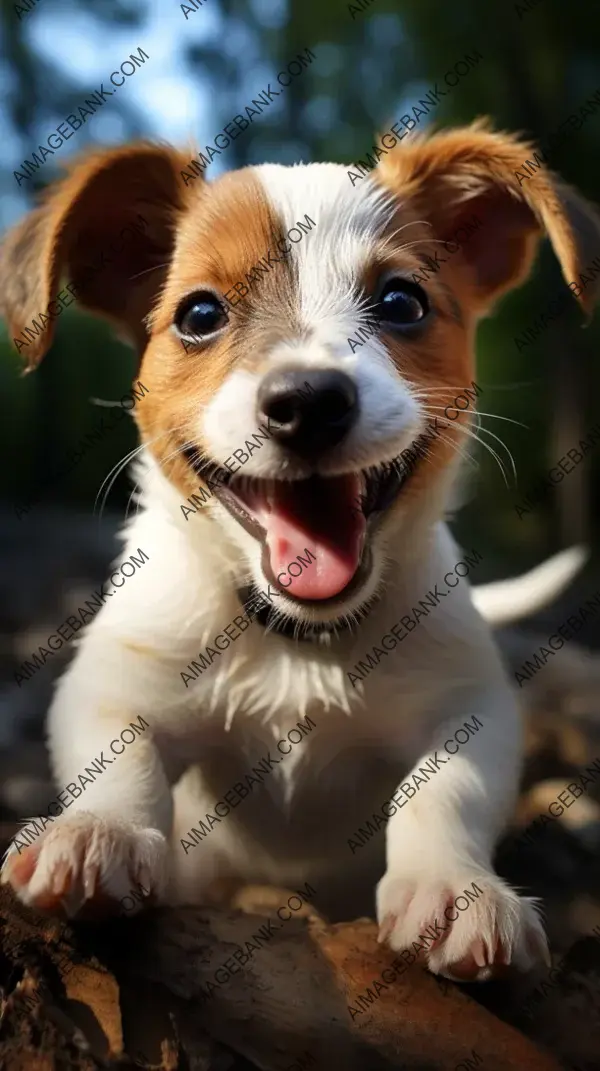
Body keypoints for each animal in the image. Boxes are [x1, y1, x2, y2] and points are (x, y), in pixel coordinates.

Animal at [1, 121, 600, 981]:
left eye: (401, 301)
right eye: (200, 312)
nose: (308, 401)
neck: (298, 642)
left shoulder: (468, 708)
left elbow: (441, 789)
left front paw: (454, 886)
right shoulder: (116, 682)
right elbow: (121, 760)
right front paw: (98, 833)